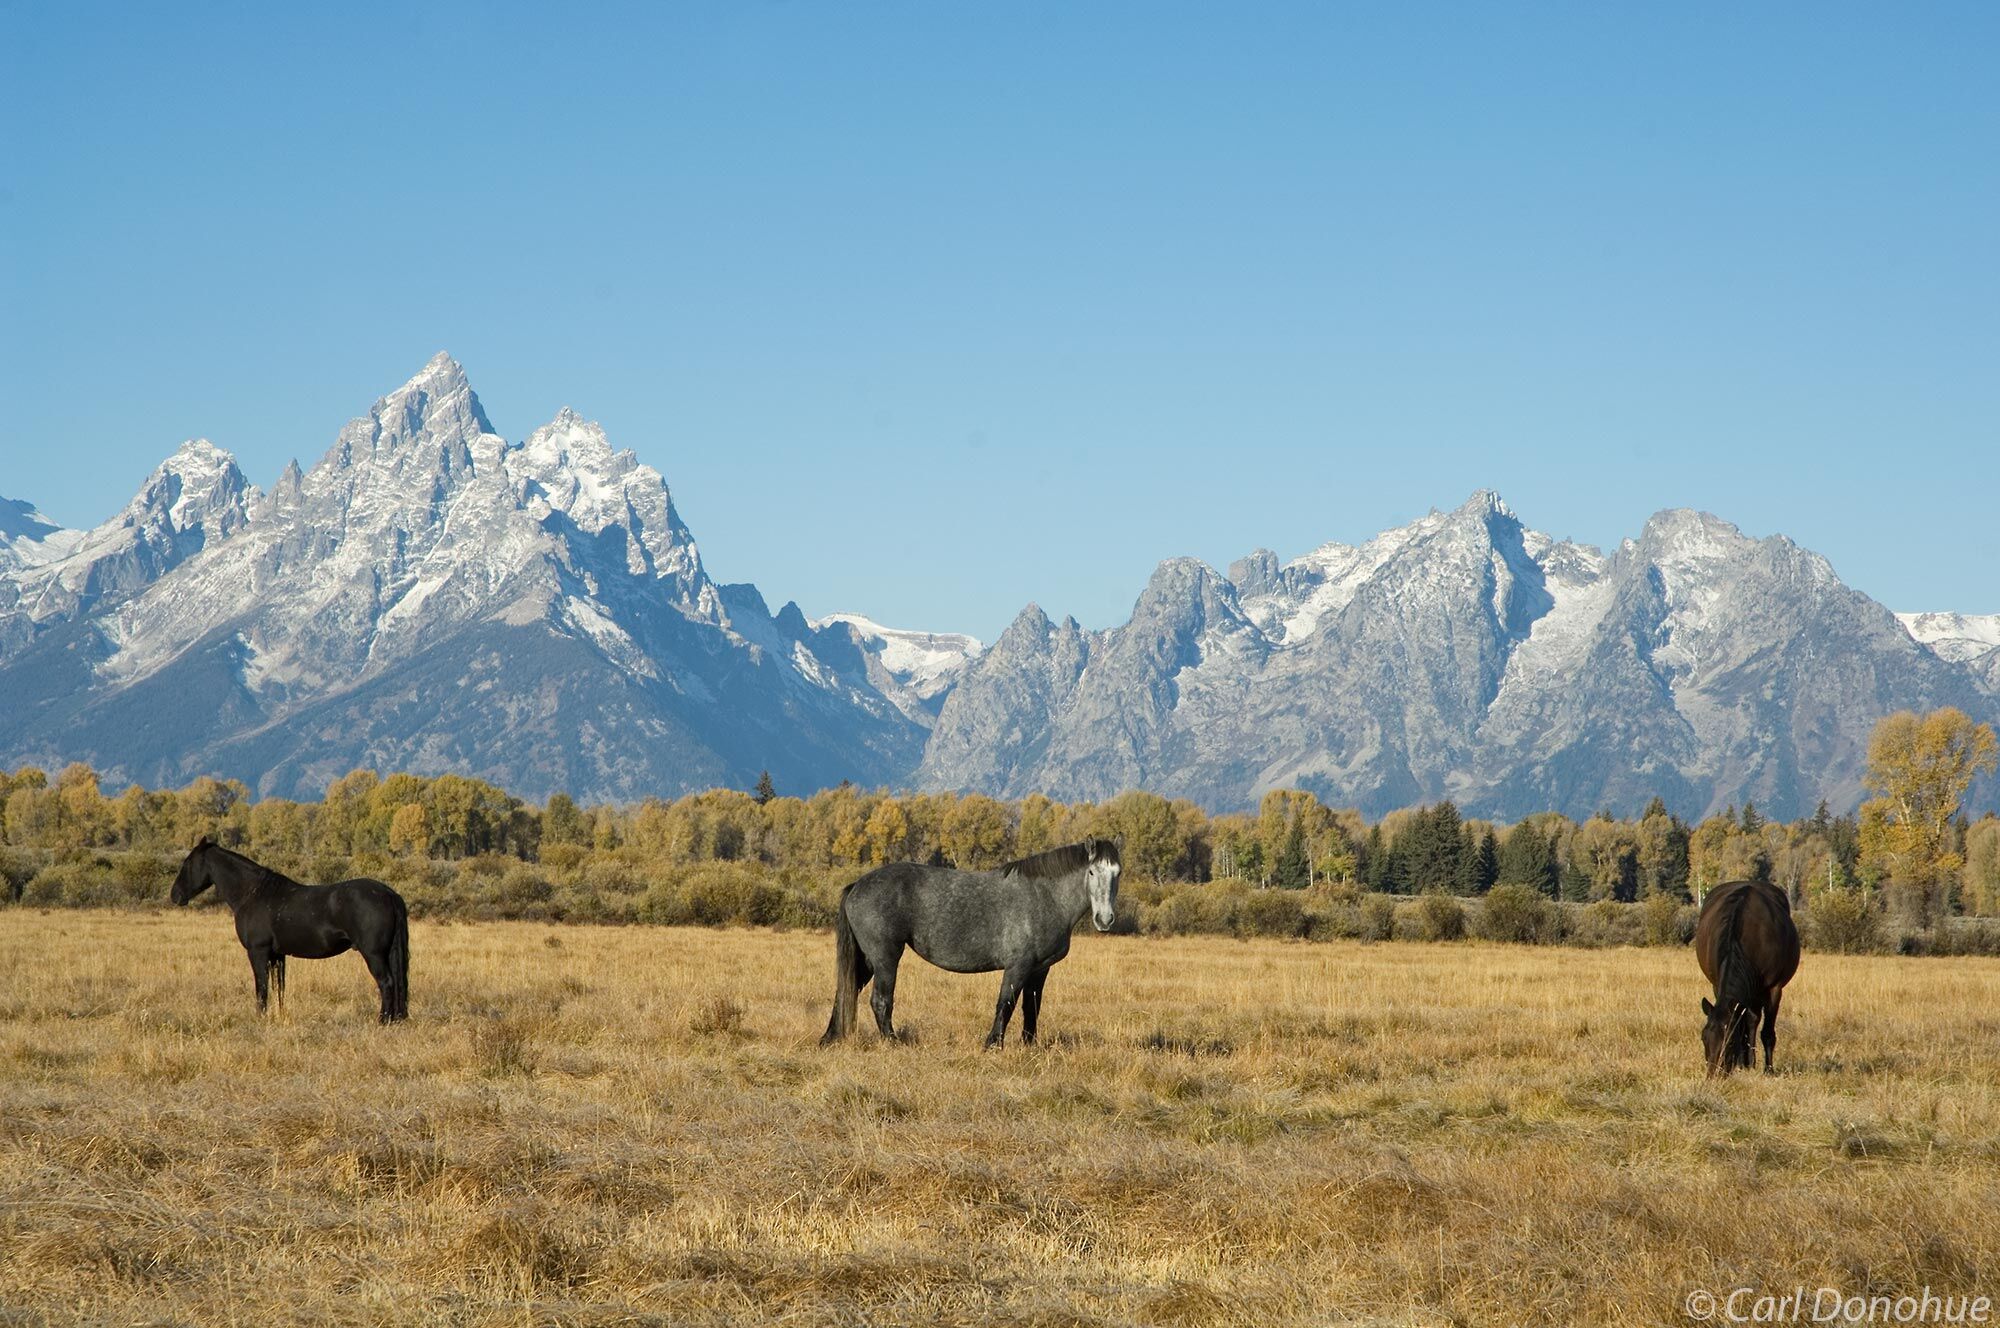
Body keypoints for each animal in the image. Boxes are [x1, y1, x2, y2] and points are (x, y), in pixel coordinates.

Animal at [172, 840, 410, 1024]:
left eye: (187, 863)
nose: (175, 895)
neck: (252, 893)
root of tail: (389, 893)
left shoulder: (258, 952)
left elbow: (262, 986)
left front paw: (261, 1018)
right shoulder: (278, 955)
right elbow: (279, 988)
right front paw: (279, 1015)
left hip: (374, 954)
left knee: (386, 982)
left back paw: (383, 1020)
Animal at [816, 840, 1128, 1048]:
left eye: (1118, 873)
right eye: (1091, 872)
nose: (1105, 919)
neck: (1044, 897)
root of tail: (856, 885)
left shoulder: (1040, 969)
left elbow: (1031, 1008)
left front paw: (1028, 1046)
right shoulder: (1018, 966)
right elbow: (1006, 1003)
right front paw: (993, 1045)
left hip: (867, 959)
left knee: (845, 991)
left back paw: (829, 1037)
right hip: (885, 958)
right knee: (880, 1001)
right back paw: (893, 1043)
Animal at [1696, 880, 1808, 1080]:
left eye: (1729, 1042)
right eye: (1704, 1037)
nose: (1713, 1076)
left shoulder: (1774, 989)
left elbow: (1767, 1033)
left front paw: (1769, 1069)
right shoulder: (1718, 985)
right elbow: (1741, 1024)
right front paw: (1742, 1063)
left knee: (1754, 1020)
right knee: (1750, 1020)